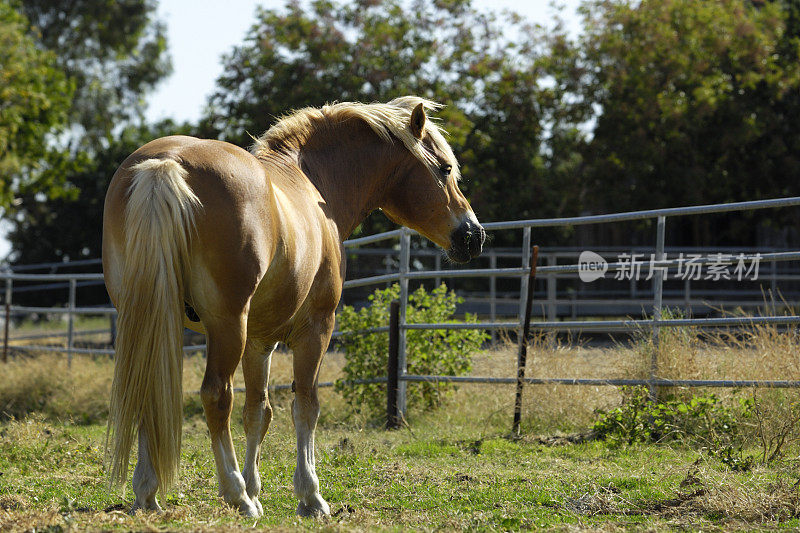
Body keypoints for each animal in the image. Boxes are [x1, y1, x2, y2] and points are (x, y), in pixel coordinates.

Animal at [102, 95, 484, 516]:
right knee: (217, 395)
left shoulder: (259, 341)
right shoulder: (316, 328)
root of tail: (165, 164)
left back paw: (148, 493)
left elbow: (259, 412)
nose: (473, 235)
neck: (311, 181)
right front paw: (309, 496)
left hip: (153, 318)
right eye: (445, 168)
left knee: (147, 390)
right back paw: (235, 495)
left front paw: (257, 487)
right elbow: (306, 406)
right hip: (226, 325)